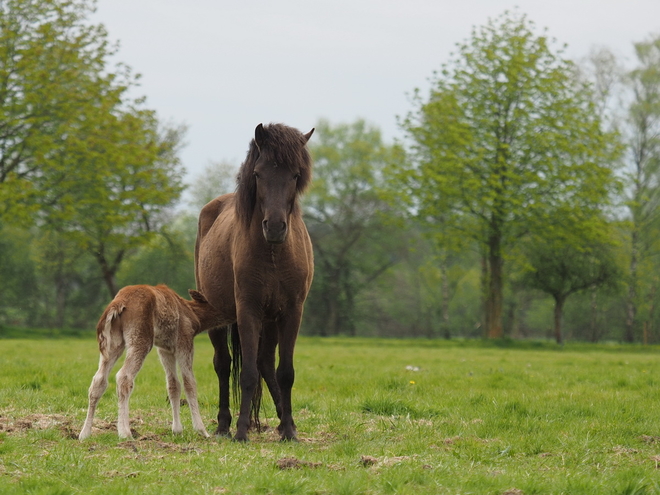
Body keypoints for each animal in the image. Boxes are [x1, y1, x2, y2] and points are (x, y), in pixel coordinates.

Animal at [193, 123, 314, 442]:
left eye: (295, 175)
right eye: (258, 174)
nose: (274, 226)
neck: (273, 253)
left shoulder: (291, 312)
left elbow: (285, 373)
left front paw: (289, 430)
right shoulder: (248, 309)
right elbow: (246, 373)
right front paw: (241, 431)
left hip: (270, 321)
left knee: (266, 366)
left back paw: (284, 421)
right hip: (218, 315)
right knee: (224, 365)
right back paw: (224, 425)